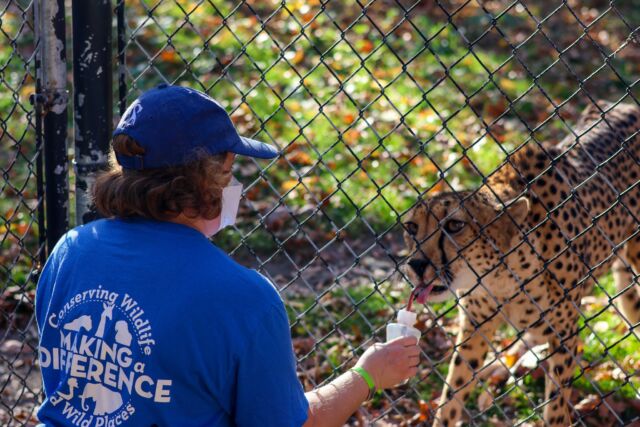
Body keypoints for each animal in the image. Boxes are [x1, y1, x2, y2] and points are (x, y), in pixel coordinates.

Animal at [404, 102, 640, 426]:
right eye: (411, 228)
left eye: (454, 225)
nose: (415, 265)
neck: (501, 277)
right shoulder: (476, 325)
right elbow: (453, 387)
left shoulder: (565, 333)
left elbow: (556, 405)